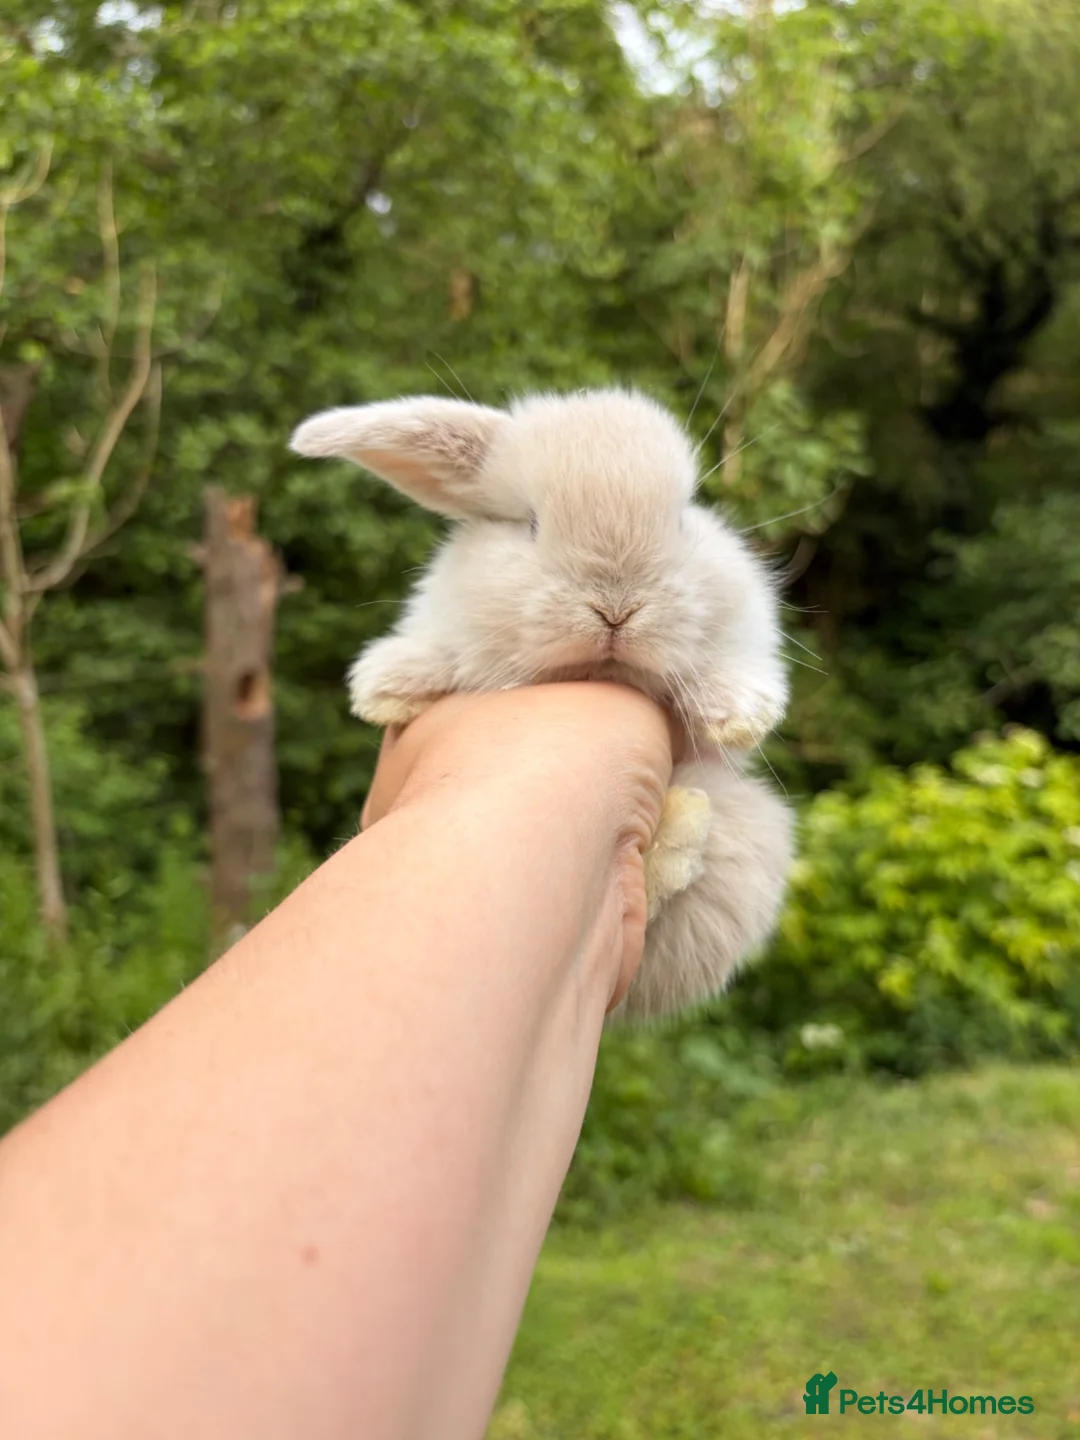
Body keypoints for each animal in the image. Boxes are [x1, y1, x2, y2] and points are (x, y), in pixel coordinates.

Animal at [290, 387, 794, 1020]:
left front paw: (741, 713)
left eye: (683, 518)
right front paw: (384, 686)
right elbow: (439, 647)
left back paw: (685, 821)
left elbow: (728, 668)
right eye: (530, 523)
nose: (615, 609)